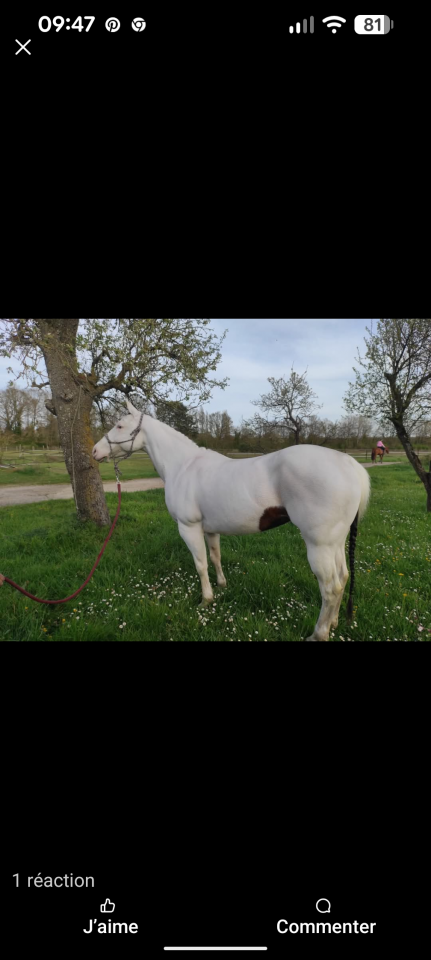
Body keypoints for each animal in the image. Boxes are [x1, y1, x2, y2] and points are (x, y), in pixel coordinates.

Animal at [92, 401, 370, 642]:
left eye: (119, 425)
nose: (95, 451)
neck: (183, 466)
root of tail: (350, 464)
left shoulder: (189, 528)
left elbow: (201, 565)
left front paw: (206, 600)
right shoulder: (210, 529)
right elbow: (215, 557)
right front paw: (222, 586)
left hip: (319, 546)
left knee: (330, 588)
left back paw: (319, 634)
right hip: (335, 542)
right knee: (343, 578)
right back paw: (333, 623)